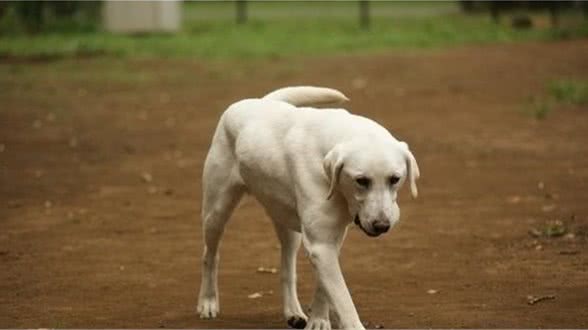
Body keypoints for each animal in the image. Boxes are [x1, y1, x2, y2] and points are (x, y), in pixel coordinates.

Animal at [198, 86, 418, 328]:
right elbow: (343, 299)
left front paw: (319, 319)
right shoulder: (321, 244)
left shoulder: (330, 240)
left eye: (395, 179)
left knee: (287, 268)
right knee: (210, 255)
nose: (382, 226)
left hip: (286, 222)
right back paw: (207, 303)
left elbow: (324, 288)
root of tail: (259, 101)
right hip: (216, 211)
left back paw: (293, 312)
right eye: (361, 180)